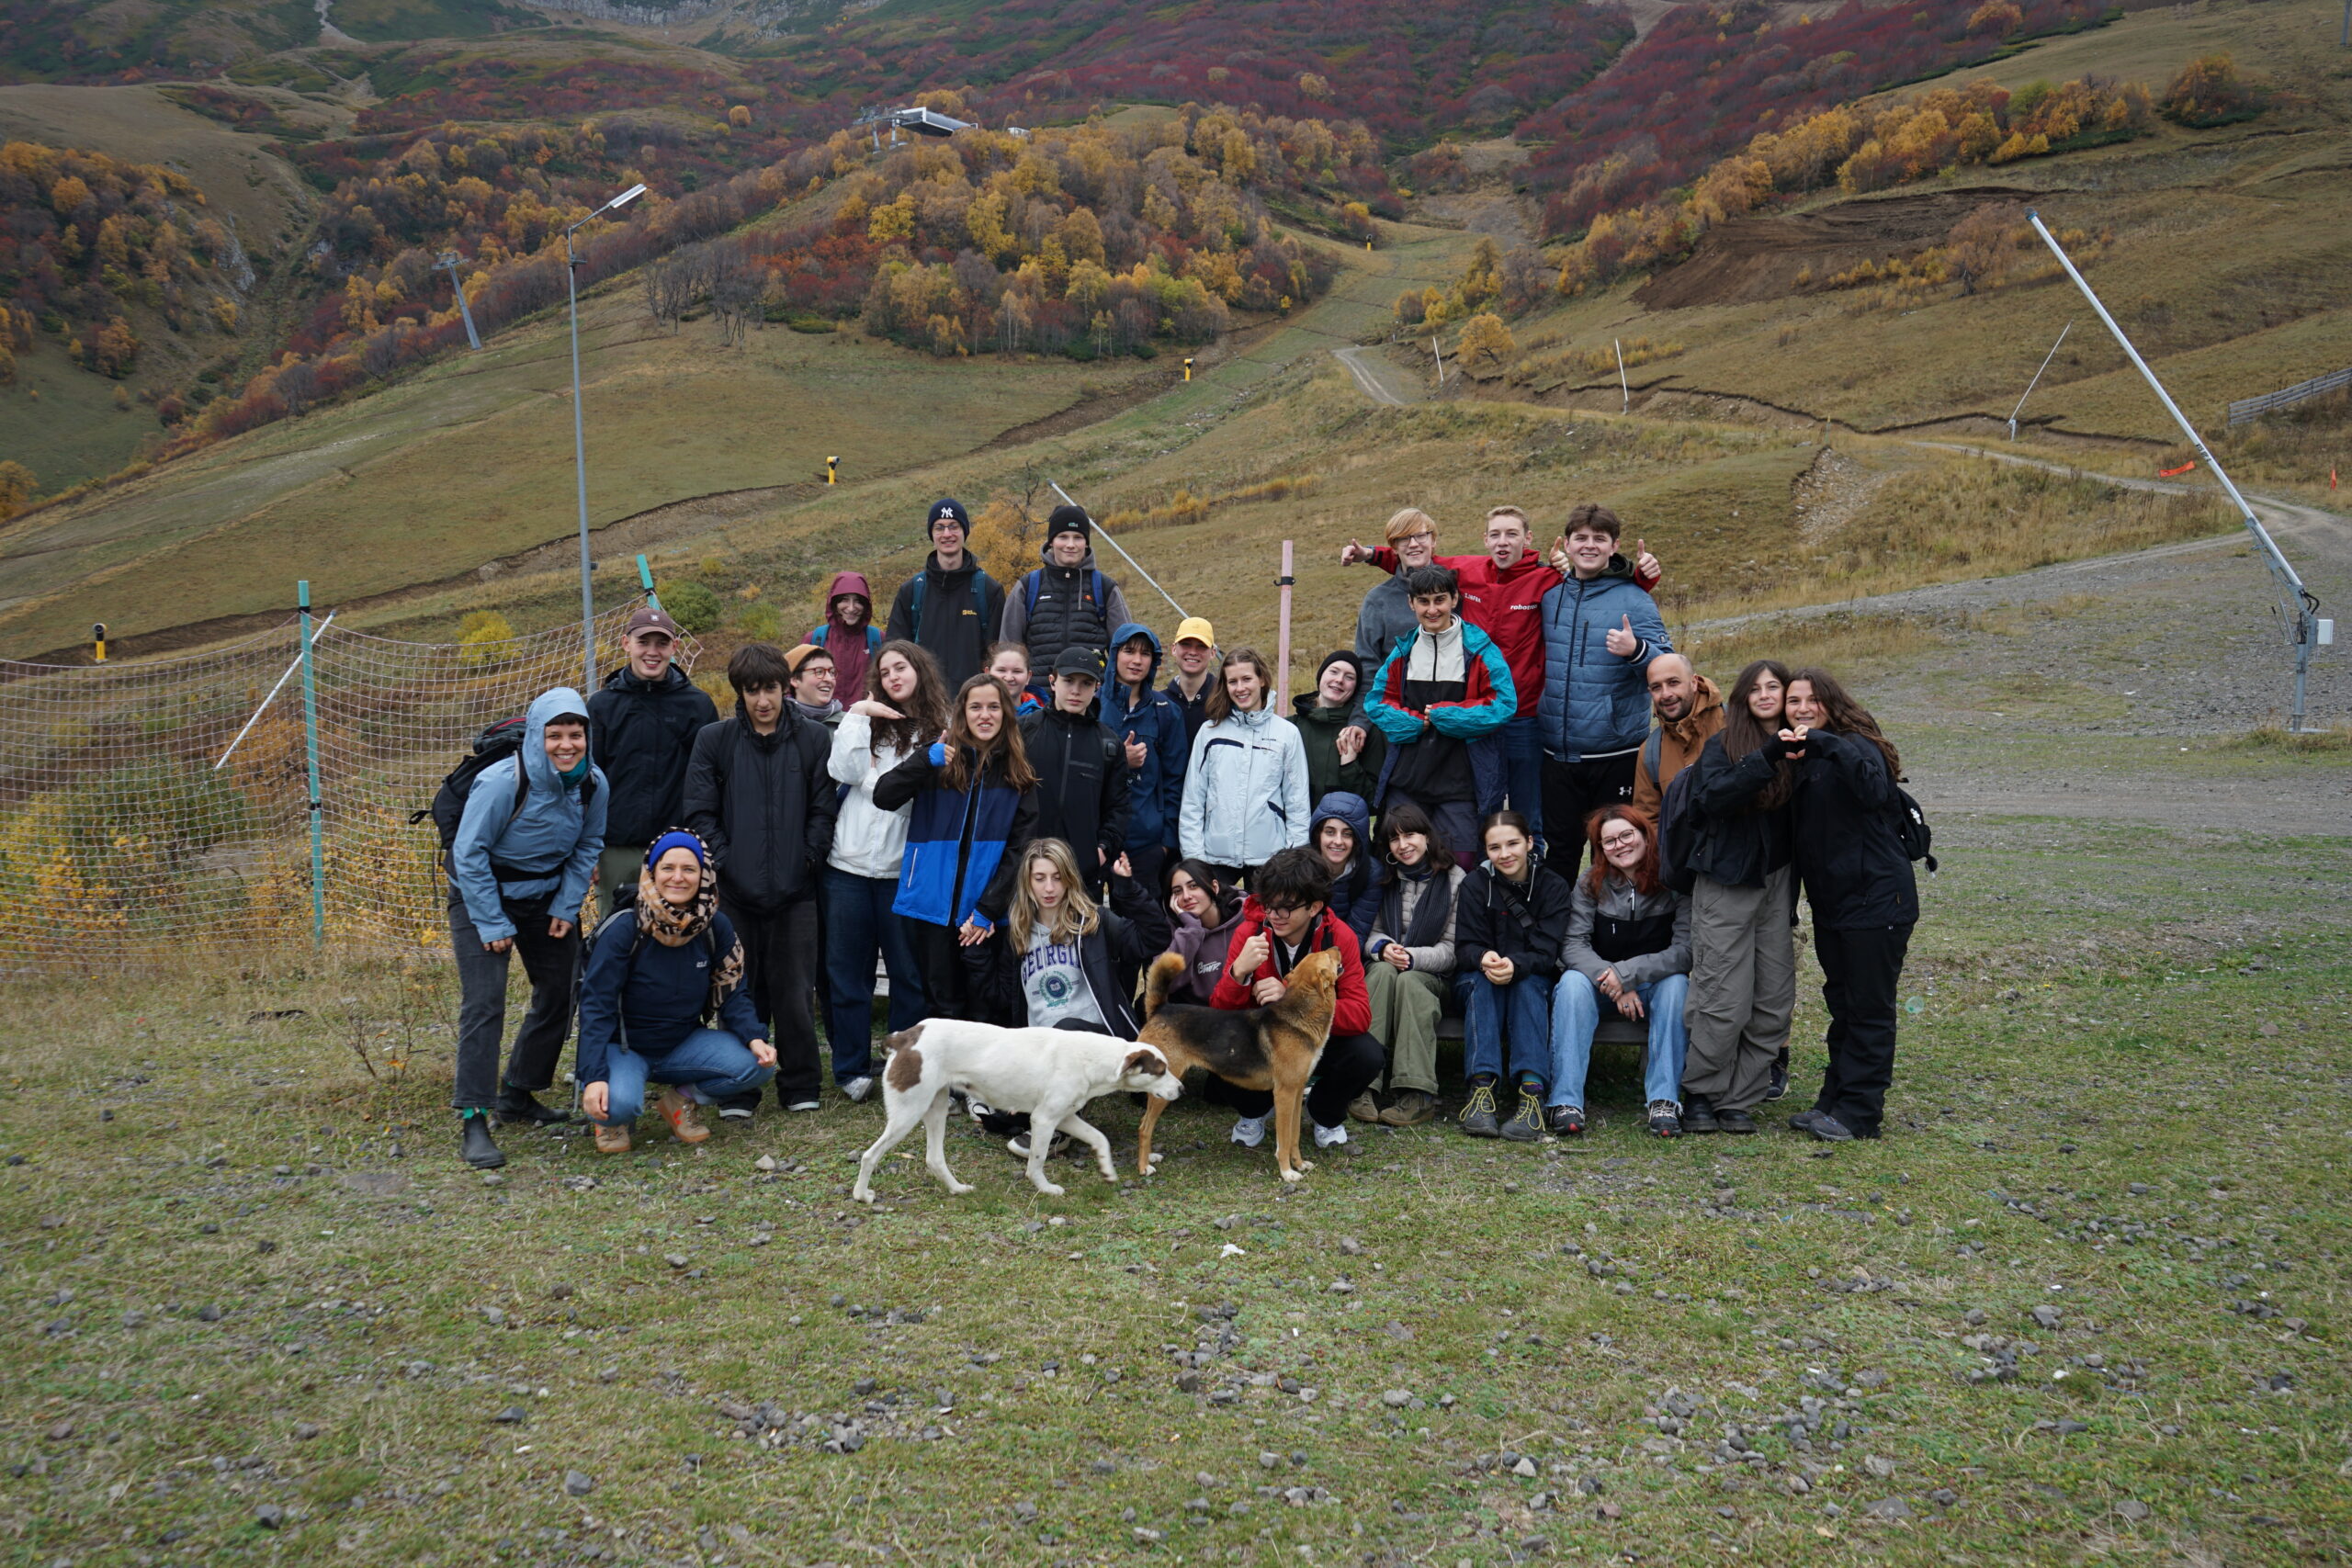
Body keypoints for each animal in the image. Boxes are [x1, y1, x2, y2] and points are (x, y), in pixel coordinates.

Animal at [855, 1020, 1185, 1203]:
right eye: (1161, 1071)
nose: (1182, 1089)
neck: (1092, 1058)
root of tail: (905, 1036)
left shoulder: (1065, 1116)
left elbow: (1100, 1138)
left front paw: (1106, 1169)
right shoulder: (1045, 1119)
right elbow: (1036, 1161)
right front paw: (1045, 1188)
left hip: (934, 1108)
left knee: (934, 1159)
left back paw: (957, 1189)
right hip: (908, 1111)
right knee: (870, 1155)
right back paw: (862, 1195)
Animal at [1138, 949, 1345, 1184]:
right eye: (1327, 956)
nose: (1338, 948)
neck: (1299, 1014)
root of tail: (1160, 1009)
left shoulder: (1297, 1090)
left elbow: (1294, 1136)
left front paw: (1299, 1164)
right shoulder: (1284, 1094)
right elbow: (1284, 1140)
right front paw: (1287, 1172)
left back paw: (1150, 1156)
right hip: (1164, 1088)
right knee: (1144, 1127)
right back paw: (1144, 1167)